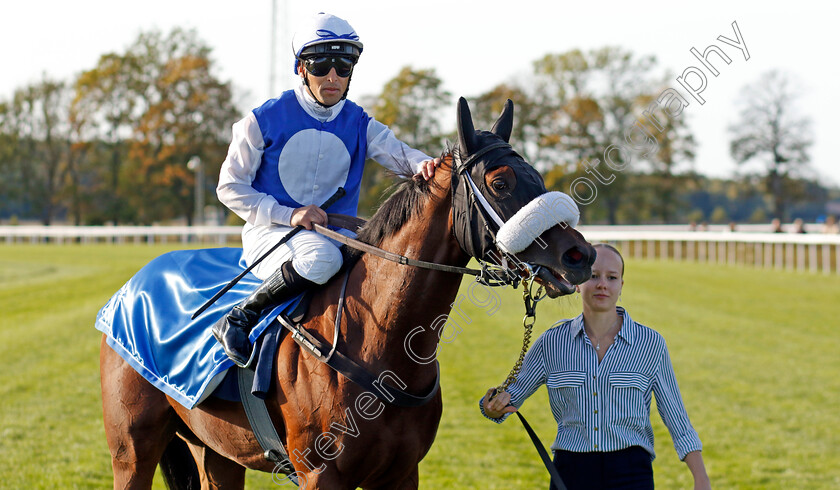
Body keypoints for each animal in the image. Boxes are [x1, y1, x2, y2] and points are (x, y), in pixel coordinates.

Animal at [100, 97, 596, 488]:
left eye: (537, 175)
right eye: (500, 182)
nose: (580, 255)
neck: (379, 346)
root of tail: (132, 286)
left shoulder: (401, 474)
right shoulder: (320, 475)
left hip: (215, 450)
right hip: (132, 451)